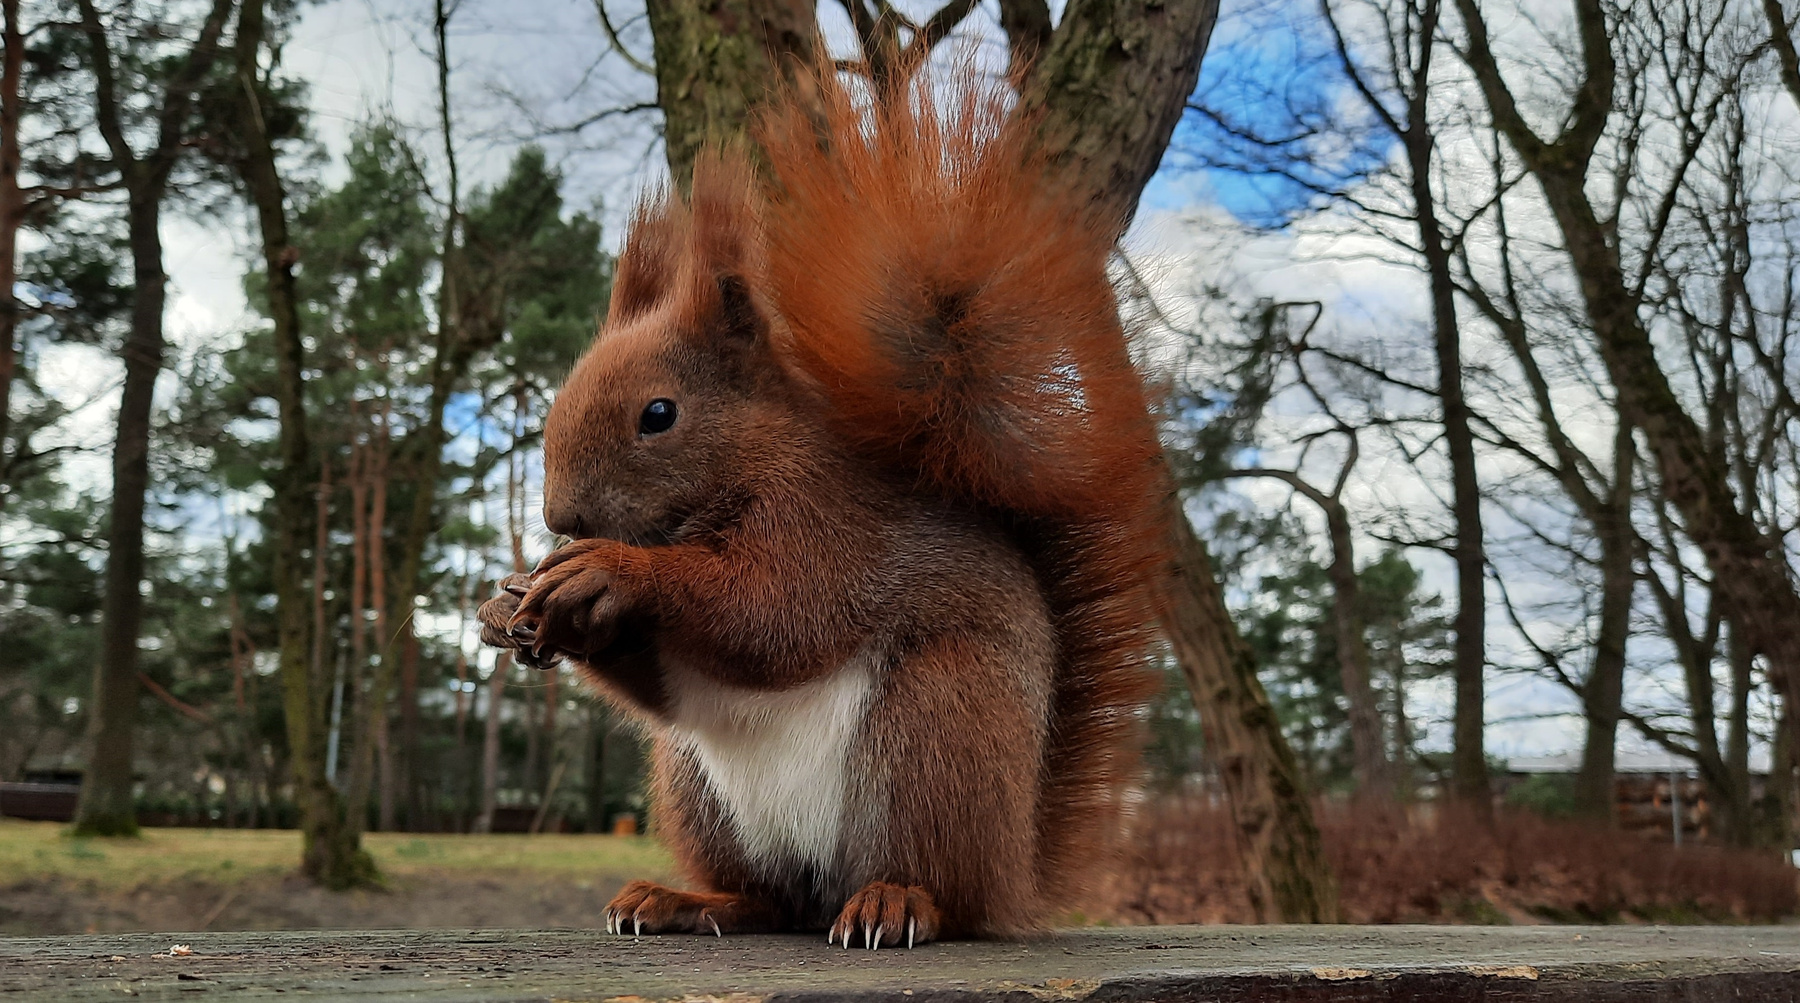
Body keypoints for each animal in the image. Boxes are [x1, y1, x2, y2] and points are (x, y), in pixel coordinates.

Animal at [476, 75, 1167, 946]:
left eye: (659, 414)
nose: (563, 519)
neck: (746, 463)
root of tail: (1015, 872)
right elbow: (665, 682)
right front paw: (504, 606)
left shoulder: (828, 520)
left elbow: (775, 613)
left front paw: (609, 571)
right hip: (698, 792)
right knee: (769, 898)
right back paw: (685, 901)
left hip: (939, 730)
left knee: (942, 891)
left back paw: (896, 902)